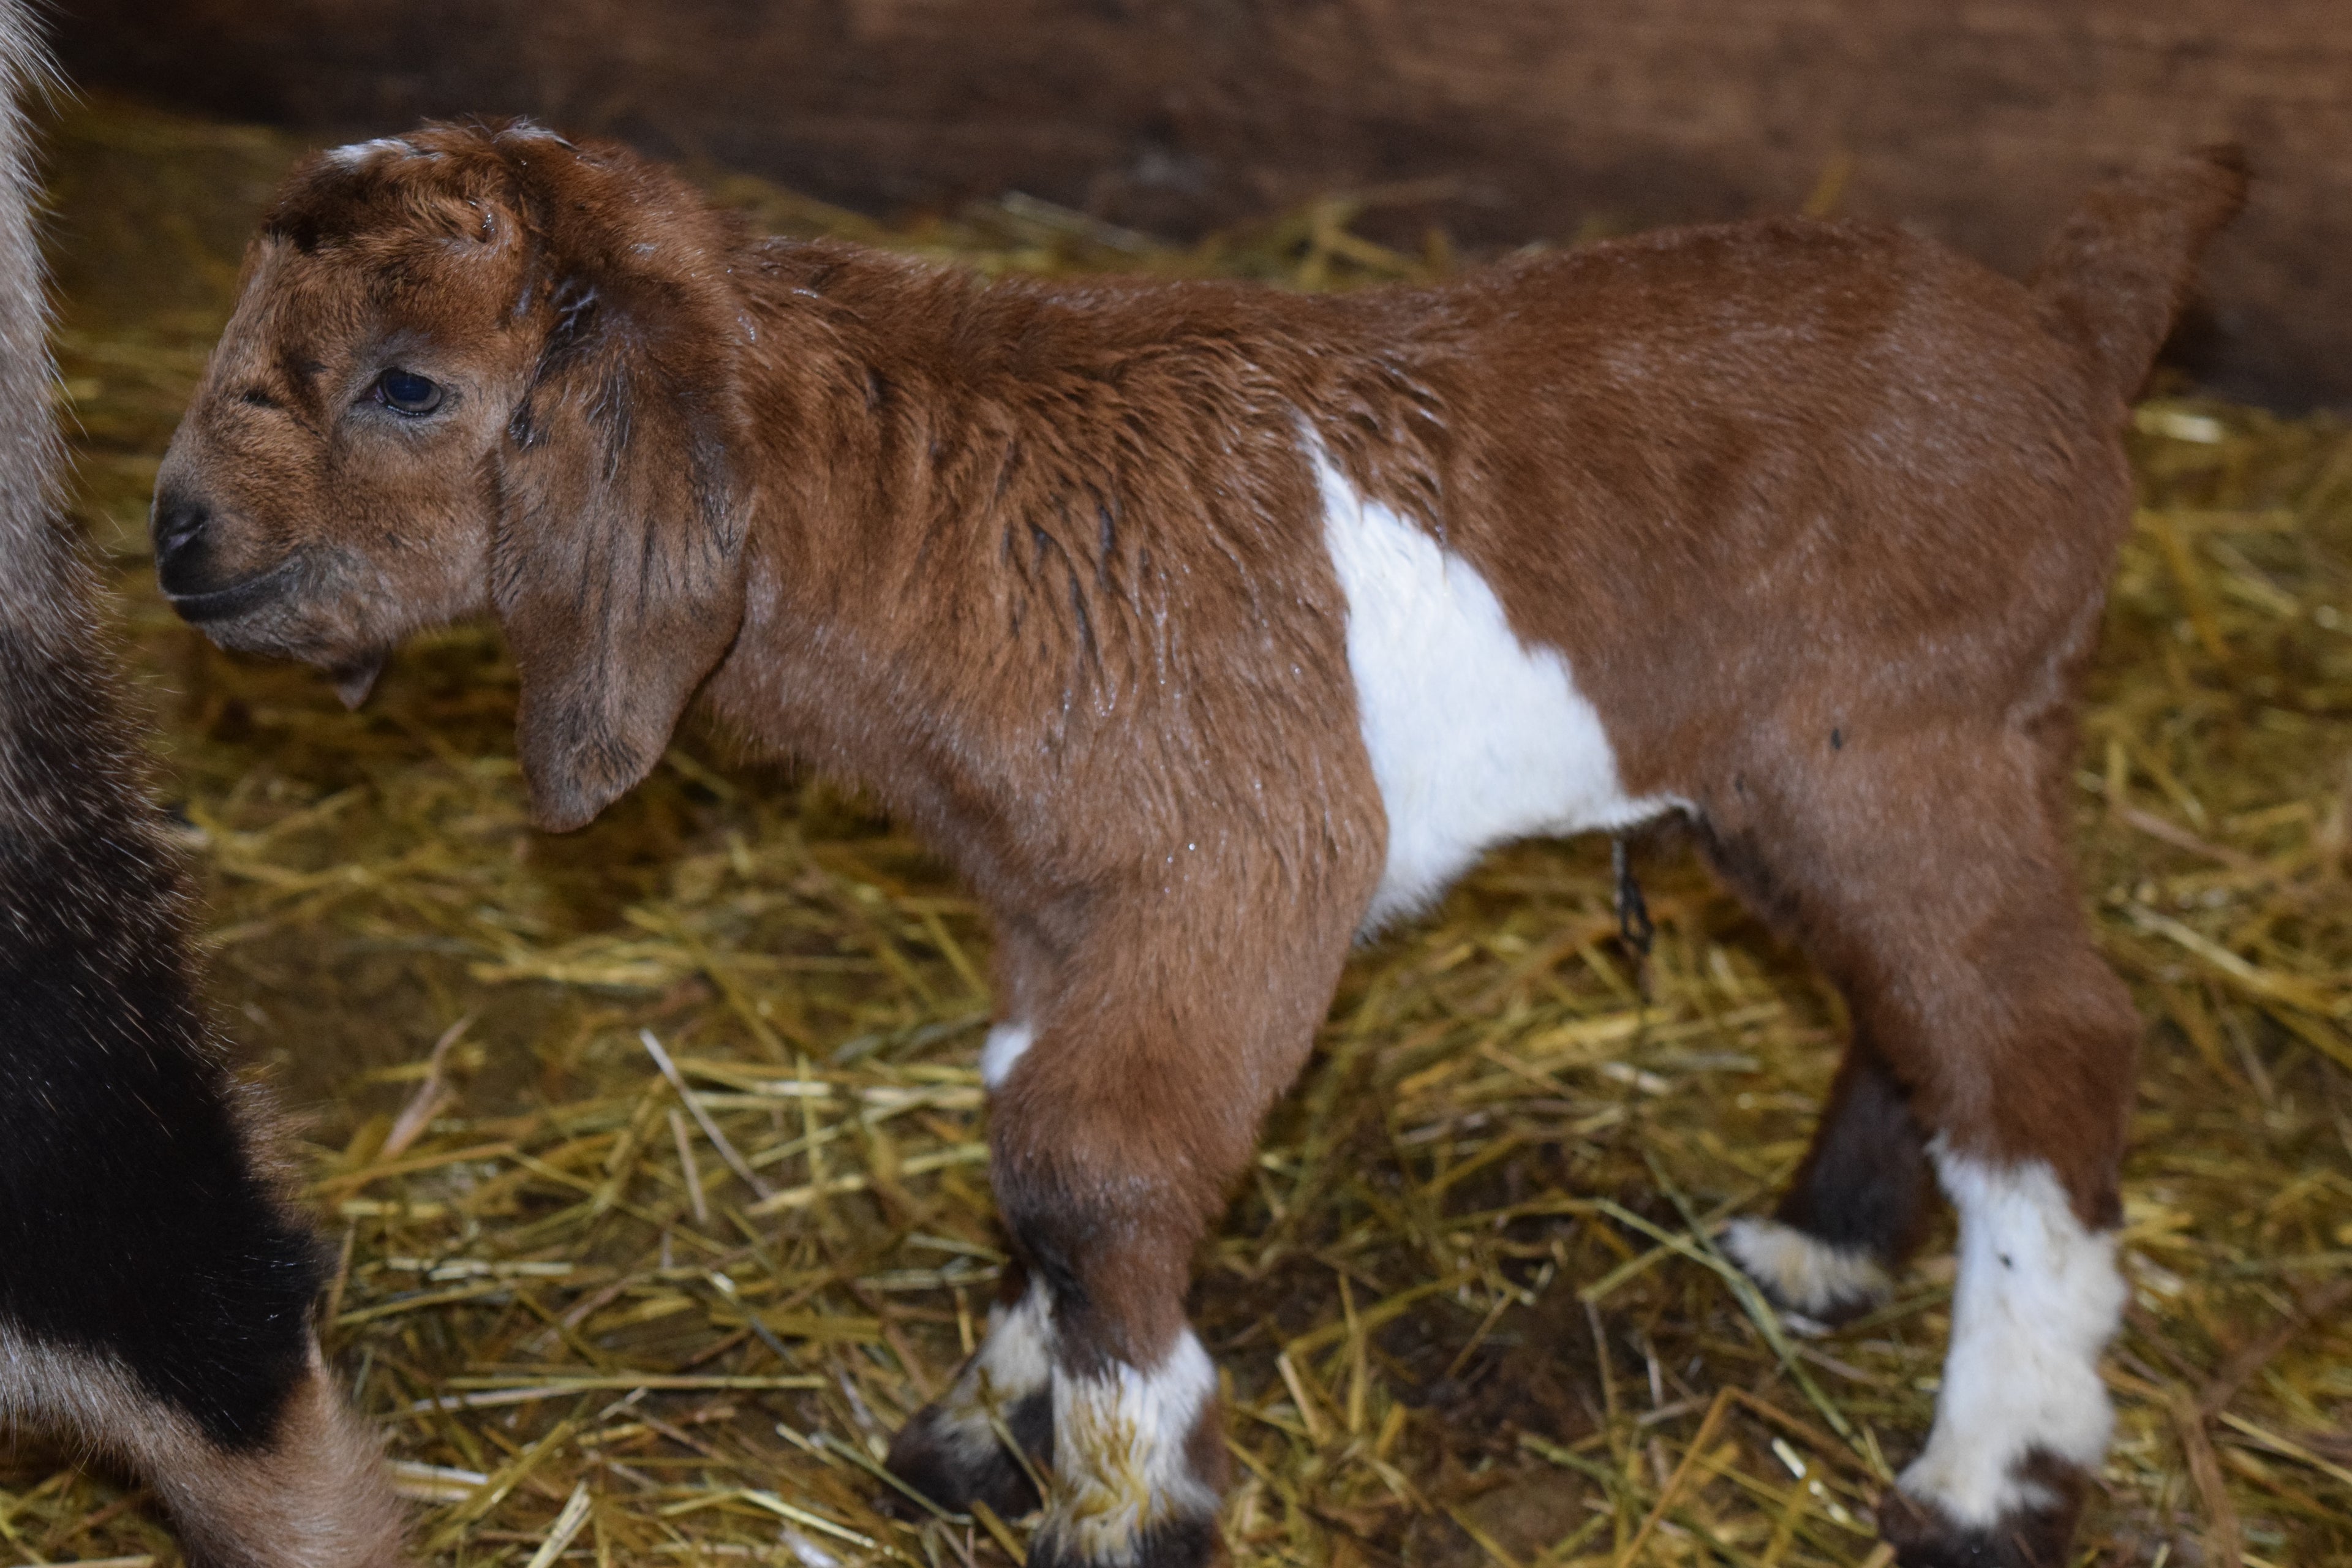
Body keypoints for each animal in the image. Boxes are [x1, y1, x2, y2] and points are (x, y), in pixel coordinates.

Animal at [148, 118, 2245, 1568]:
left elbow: (1087, 1162)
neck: (925, 520)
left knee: (2044, 1043)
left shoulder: (1239, 872)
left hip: (1898, 743)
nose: (178, 539)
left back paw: (1985, 1484)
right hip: (1817, 769)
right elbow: (1026, 1142)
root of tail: (2069, 335)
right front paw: (986, 1431)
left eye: (407, 384)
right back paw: (1819, 1252)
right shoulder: (1054, 901)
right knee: (1922, 1010)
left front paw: (1132, 1503)